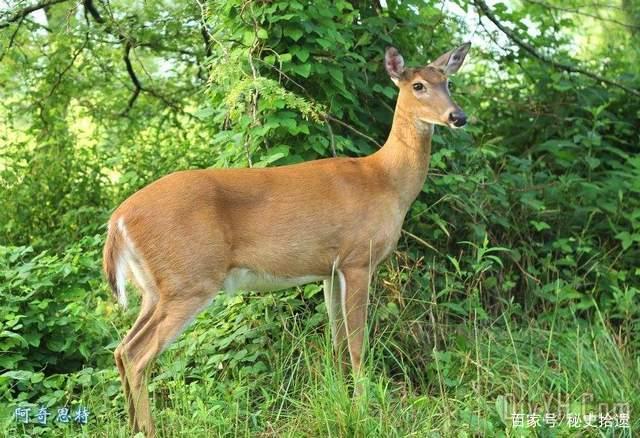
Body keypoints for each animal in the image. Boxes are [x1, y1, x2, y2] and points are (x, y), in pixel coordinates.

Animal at [104, 42, 470, 434]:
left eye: (447, 81)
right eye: (418, 85)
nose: (458, 116)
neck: (386, 181)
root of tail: (118, 219)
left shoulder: (330, 269)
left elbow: (337, 341)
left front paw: (341, 399)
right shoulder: (359, 258)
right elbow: (358, 343)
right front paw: (365, 408)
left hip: (155, 287)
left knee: (122, 348)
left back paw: (131, 425)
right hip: (191, 278)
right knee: (138, 354)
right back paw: (149, 429)